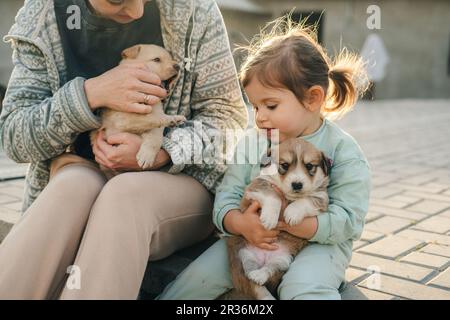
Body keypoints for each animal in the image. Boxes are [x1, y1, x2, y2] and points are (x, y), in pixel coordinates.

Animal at [51, 44, 186, 180]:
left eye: (171, 59)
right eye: (157, 60)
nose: (178, 66)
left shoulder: (151, 124)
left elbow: (155, 135)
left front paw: (147, 155)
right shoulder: (123, 121)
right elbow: (153, 118)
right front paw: (171, 119)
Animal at [223, 138, 332, 300]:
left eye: (309, 166)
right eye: (284, 165)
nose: (297, 184)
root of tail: (264, 258)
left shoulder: (321, 197)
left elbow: (305, 201)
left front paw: (292, 213)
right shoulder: (259, 184)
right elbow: (273, 196)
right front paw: (269, 219)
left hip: (282, 260)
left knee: (268, 269)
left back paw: (260, 276)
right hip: (244, 256)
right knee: (252, 280)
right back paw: (257, 280)